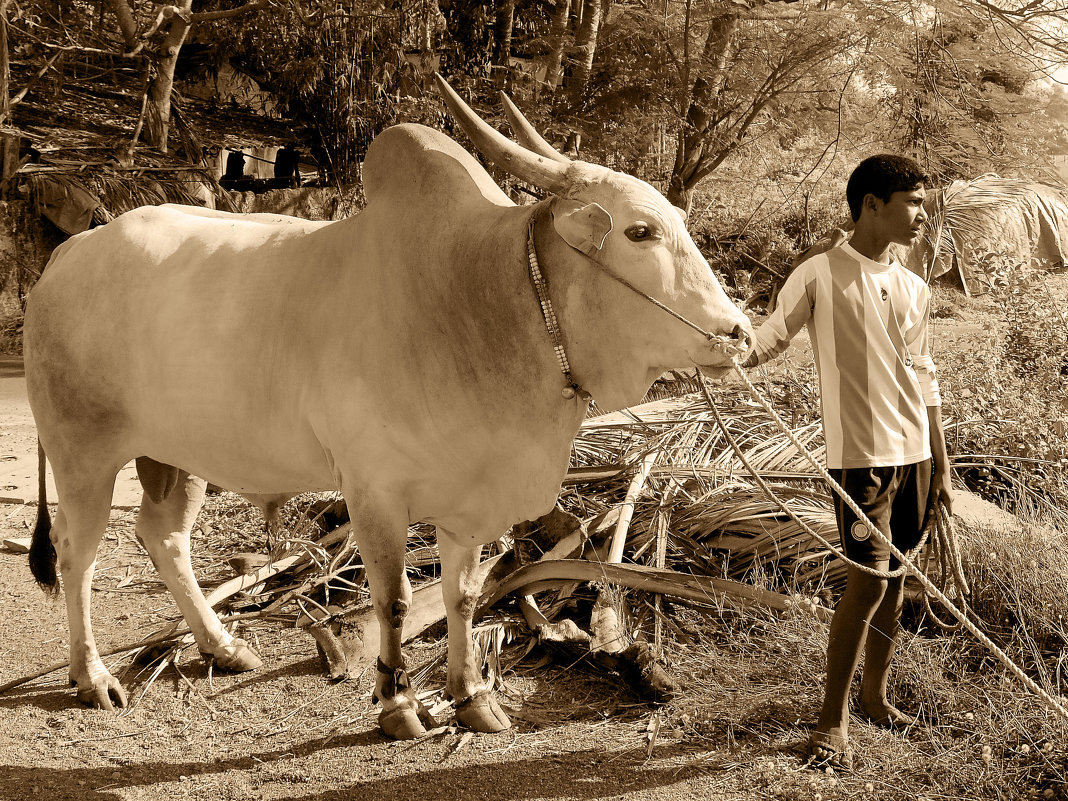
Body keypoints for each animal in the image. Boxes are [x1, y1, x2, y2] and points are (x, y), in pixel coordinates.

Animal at [20, 76, 747, 739]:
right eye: (640, 231)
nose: (737, 332)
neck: (487, 295)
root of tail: (65, 255)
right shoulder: (373, 490)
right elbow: (394, 600)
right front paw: (397, 703)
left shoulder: (468, 497)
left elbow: (462, 595)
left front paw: (470, 696)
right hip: (83, 452)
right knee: (77, 556)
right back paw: (93, 676)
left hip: (177, 452)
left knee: (164, 537)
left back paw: (221, 646)